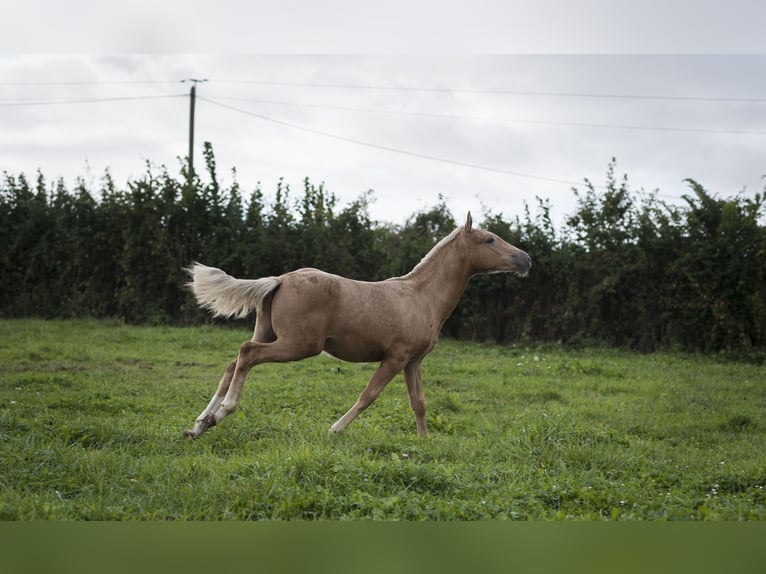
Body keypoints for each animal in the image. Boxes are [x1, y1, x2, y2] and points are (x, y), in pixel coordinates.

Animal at [186, 213, 536, 440]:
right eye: (489, 239)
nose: (526, 259)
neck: (421, 296)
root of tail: (280, 279)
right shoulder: (395, 357)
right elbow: (369, 395)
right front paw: (335, 430)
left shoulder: (414, 361)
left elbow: (419, 403)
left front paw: (425, 442)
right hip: (299, 344)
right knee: (247, 354)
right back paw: (221, 413)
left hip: (270, 333)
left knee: (233, 363)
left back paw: (199, 424)